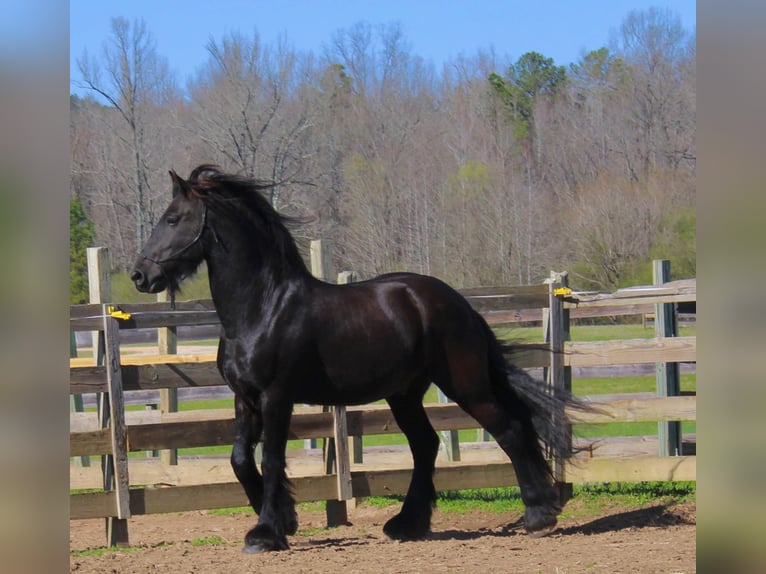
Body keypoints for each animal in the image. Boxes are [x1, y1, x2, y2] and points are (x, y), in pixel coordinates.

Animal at [130, 165, 576, 552]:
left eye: (172, 218)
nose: (139, 275)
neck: (262, 307)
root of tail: (458, 303)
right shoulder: (246, 398)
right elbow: (240, 459)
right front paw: (282, 521)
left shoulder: (277, 397)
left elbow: (271, 459)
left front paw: (267, 533)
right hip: (404, 394)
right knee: (427, 445)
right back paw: (407, 525)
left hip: (465, 384)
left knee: (510, 430)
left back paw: (538, 516)